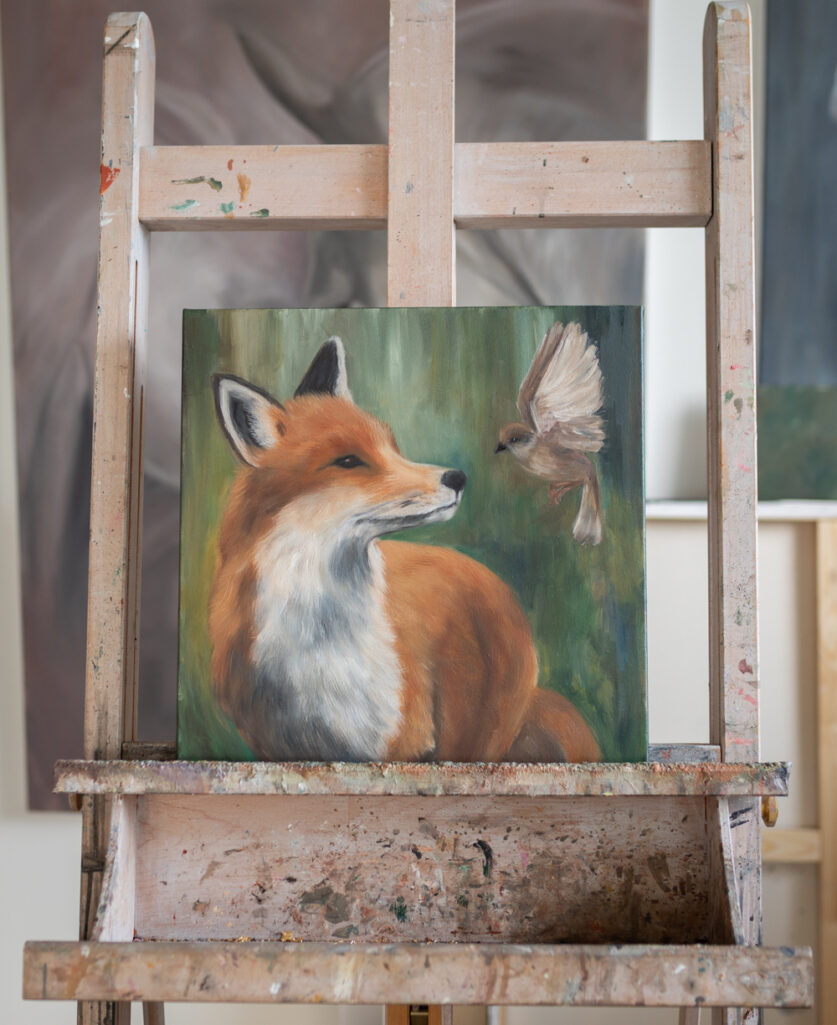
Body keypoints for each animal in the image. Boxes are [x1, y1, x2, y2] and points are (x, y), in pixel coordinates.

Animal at [208, 336, 600, 764]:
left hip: (474, 736)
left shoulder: (402, 744)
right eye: (348, 461)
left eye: (391, 447)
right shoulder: (277, 745)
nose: (457, 478)